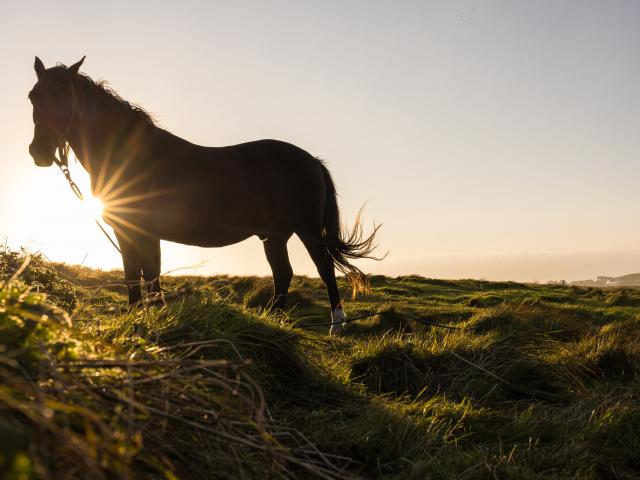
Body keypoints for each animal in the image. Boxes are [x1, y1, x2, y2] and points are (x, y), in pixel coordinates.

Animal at [28, 56, 380, 334]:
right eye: (33, 97)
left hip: (307, 232)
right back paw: (274, 321)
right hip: (275, 236)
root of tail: (312, 161)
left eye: (65, 96)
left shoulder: (145, 230)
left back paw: (336, 325)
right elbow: (134, 275)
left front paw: (154, 318)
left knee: (324, 270)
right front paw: (137, 318)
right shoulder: (126, 230)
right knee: (283, 274)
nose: (39, 152)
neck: (129, 156)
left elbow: (150, 275)